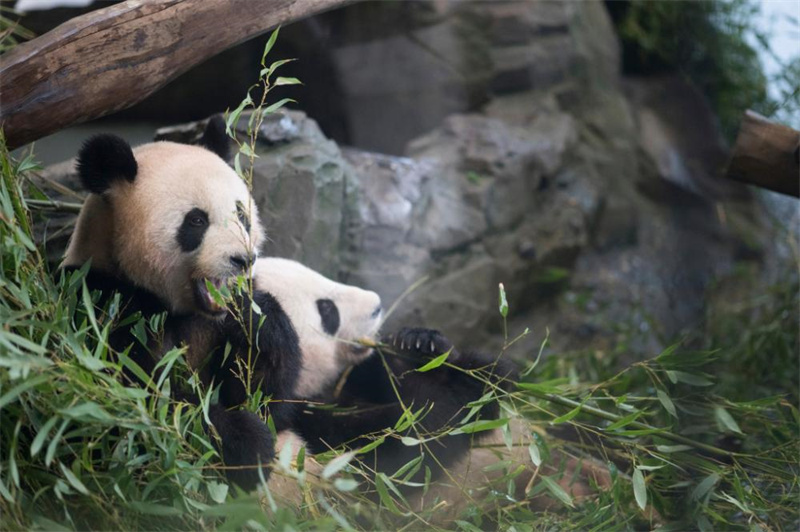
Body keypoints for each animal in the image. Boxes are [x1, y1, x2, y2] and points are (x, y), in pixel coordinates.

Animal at [61, 118, 304, 492]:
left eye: (241, 214)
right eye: (196, 220)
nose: (242, 259)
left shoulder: (216, 325)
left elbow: (267, 399)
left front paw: (258, 322)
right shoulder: (102, 305)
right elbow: (142, 404)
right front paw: (246, 443)